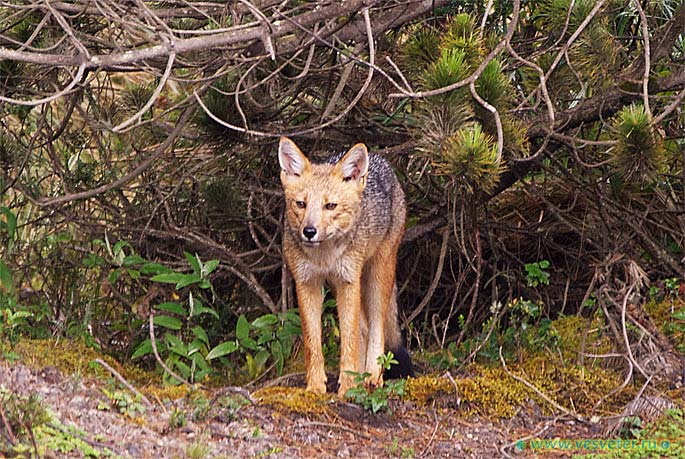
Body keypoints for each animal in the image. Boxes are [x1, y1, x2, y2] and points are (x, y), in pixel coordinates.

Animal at [278, 136, 414, 397]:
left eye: (330, 206)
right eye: (301, 204)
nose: (309, 231)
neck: (324, 257)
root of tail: (381, 160)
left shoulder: (347, 282)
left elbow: (349, 340)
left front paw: (349, 387)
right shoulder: (307, 283)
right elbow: (313, 343)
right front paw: (315, 387)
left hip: (377, 275)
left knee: (376, 327)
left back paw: (373, 377)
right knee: (364, 328)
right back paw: (363, 377)